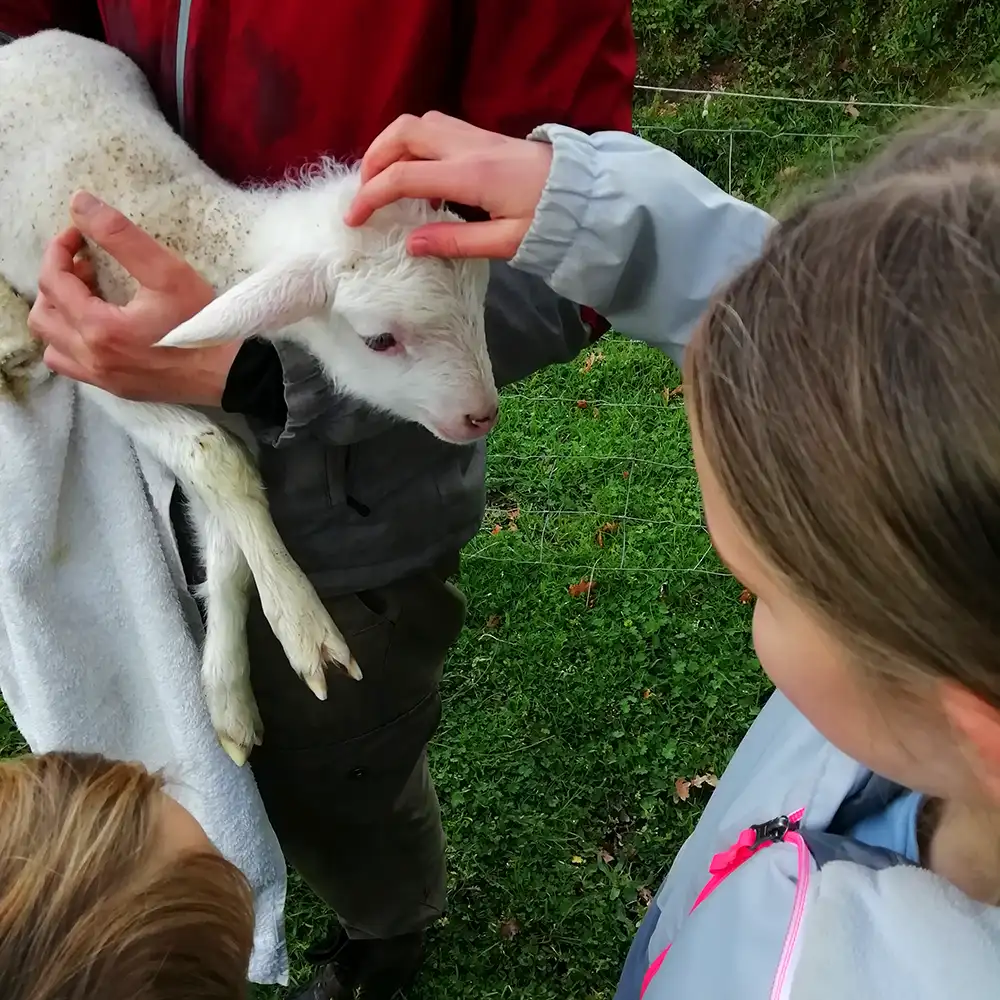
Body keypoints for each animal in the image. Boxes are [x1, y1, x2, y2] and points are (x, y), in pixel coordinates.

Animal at [0, 30, 498, 766]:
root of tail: (21, 48)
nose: (480, 414)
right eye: (380, 340)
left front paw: (228, 693)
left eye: (481, 305)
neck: (203, 242)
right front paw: (303, 624)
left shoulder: (211, 397)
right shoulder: (101, 362)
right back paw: (12, 335)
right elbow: (217, 460)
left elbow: (225, 520)